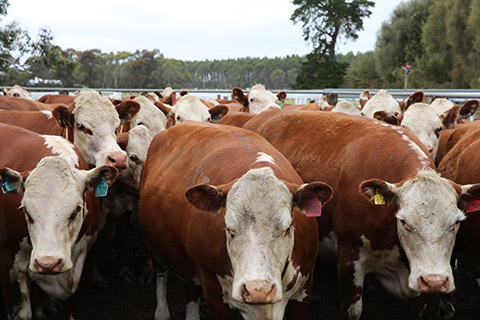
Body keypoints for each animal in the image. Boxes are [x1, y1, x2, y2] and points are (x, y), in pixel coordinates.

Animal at [140, 122, 334, 320]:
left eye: (287, 228)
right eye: (229, 229)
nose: (258, 291)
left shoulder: (304, 290)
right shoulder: (213, 292)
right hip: (154, 245)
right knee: (161, 276)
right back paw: (162, 312)